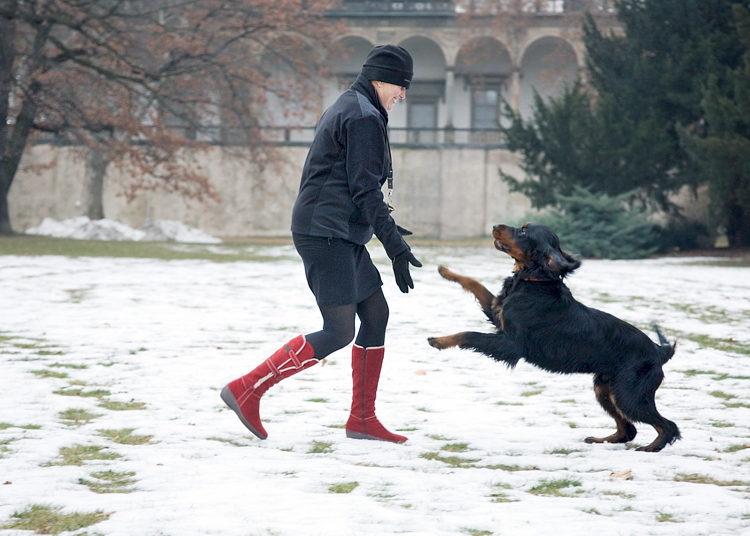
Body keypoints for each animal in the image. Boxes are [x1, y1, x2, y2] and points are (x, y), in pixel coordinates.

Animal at [428, 222, 680, 452]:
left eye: (523, 231)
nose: (494, 225)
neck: (535, 281)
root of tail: (660, 351)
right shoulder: (497, 314)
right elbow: (475, 283)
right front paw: (446, 271)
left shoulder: (510, 345)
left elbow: (468, 333)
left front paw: (439, 341)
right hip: (605, 388)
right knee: (628, 429)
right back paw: (600, 440)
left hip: (629, 394)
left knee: (667, 426)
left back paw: (650, 448)